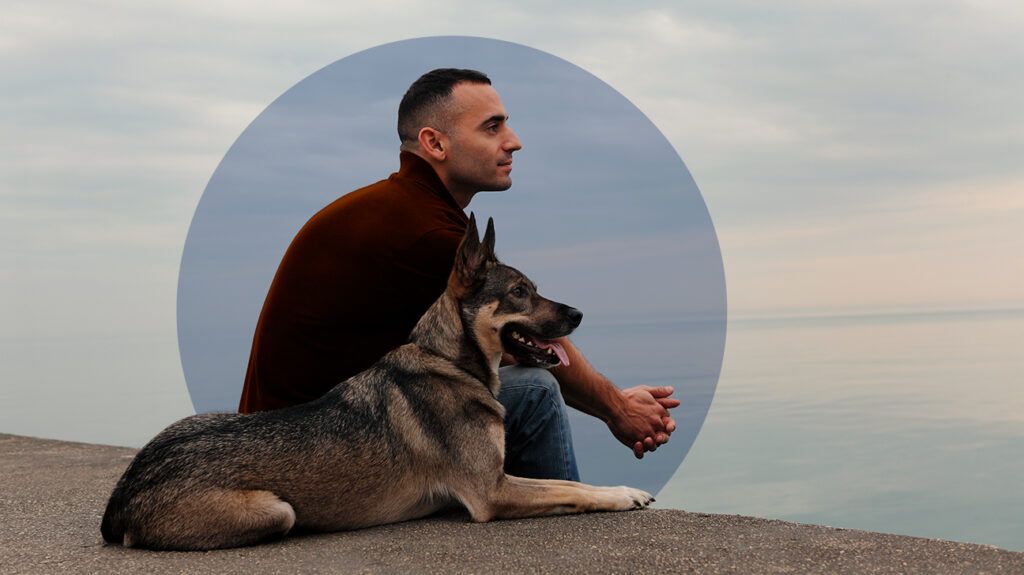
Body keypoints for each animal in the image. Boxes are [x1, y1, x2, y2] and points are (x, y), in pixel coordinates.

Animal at [99, 212, 651, 548]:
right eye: (519, 292)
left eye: (533, 288)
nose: (578, 314)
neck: (449, 360)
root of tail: (122, 497)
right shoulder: (491, 492)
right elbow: (574, 491)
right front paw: (622, 496)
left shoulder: (499, 479)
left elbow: (567, 481)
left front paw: (625, 488)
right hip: (277, 510)